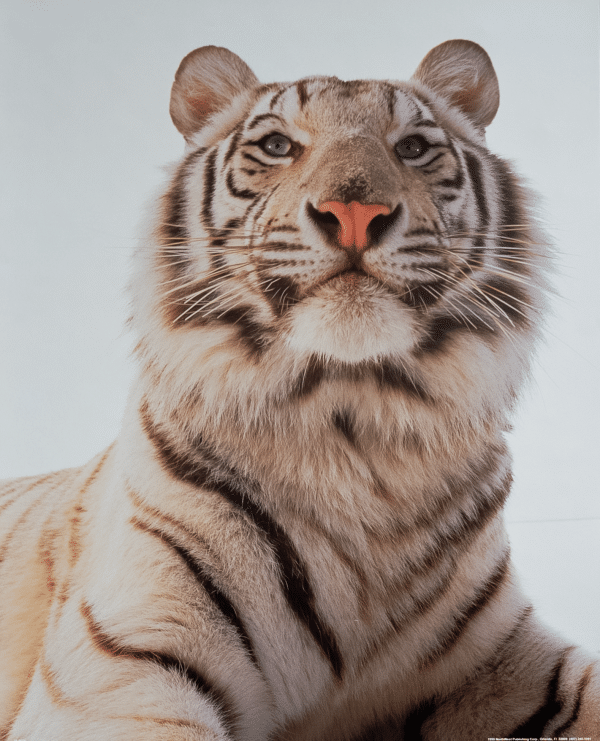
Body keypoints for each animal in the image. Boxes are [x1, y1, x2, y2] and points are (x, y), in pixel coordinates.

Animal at [1, 38, 598, 740]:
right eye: (279, 145)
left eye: (412, 147)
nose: (356, 214)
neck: (359, 428)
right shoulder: (123, 666)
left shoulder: (503, 653)